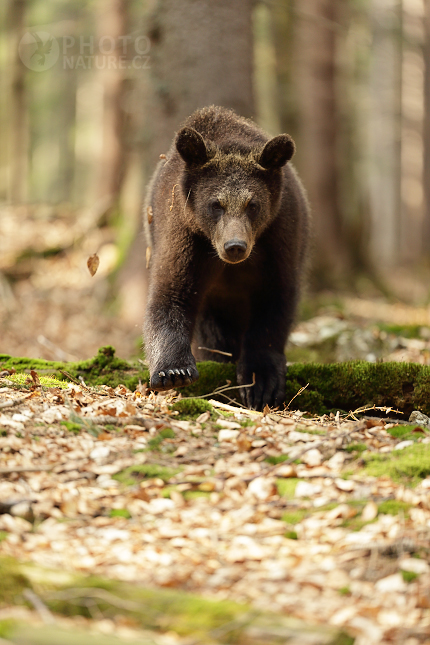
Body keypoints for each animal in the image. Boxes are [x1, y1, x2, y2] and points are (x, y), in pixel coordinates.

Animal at [144, 105, 310, 408]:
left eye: (252, 204)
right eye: (216, 204)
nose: (235, 246)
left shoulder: (279, 236)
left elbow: (275, 301)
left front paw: (261, 382)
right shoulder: (185, 235)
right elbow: (172, 291)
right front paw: (174, 371)